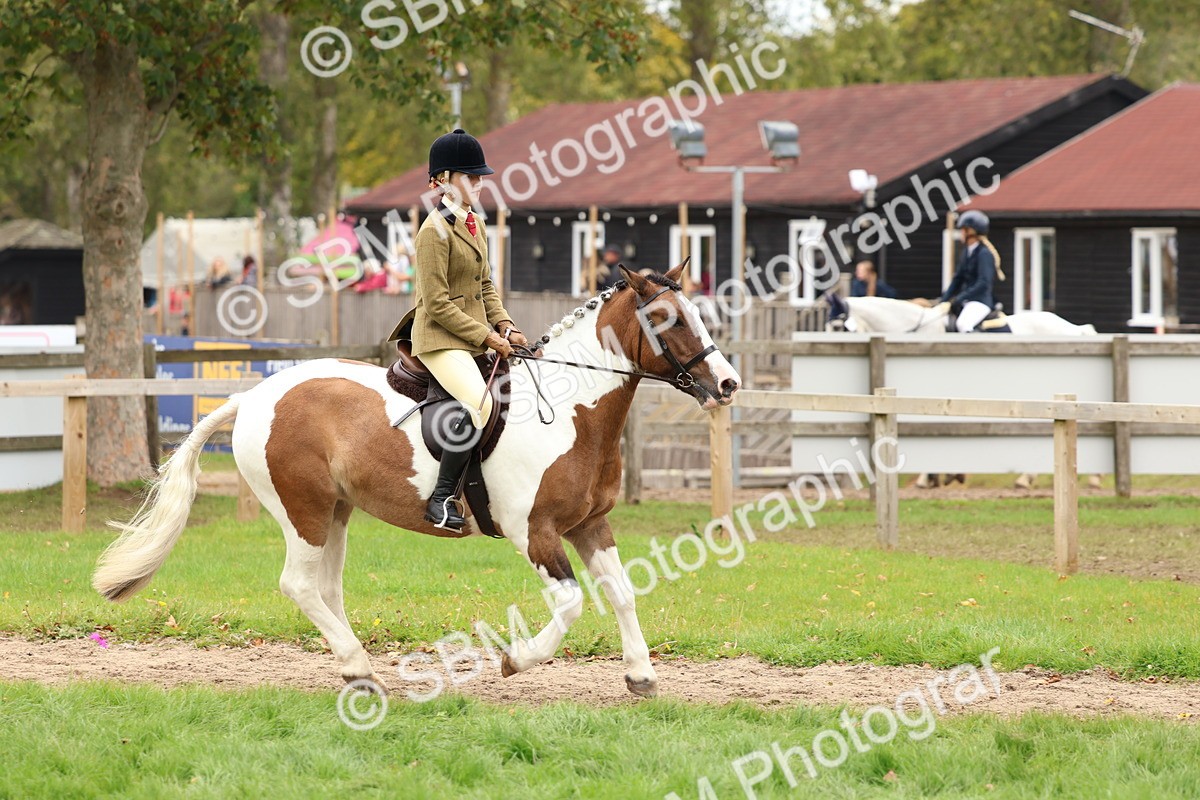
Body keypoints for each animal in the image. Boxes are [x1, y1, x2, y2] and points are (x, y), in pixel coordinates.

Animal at [92, 263, 741, 698]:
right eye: (666, 319)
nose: (729, 384)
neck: (572, 410)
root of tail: (253, 397)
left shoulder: (589, 525)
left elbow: (622, 592)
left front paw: (642, 676)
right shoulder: (535, 533)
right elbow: (572, 602)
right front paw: (515, 661)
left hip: (336, 512)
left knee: (325, 589)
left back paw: (357, 669)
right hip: (303, 510)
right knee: (298, 585)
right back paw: (359, 668)